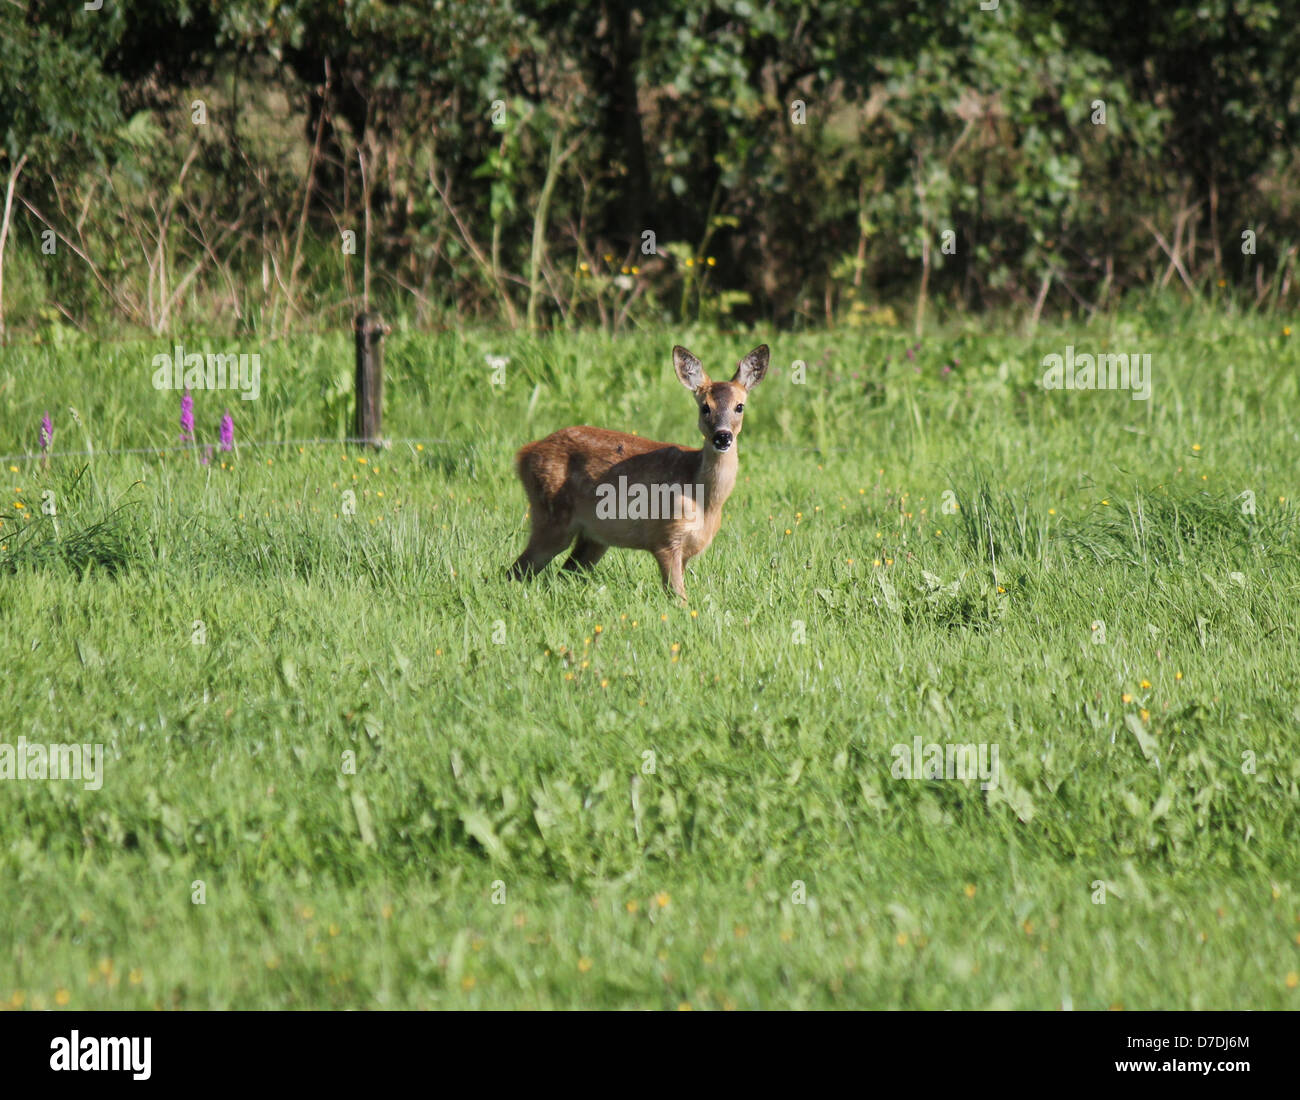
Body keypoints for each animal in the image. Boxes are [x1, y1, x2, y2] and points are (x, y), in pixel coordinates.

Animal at [508, 344, 769, 601]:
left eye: (739, 406)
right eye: (705, 407)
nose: (722, 436)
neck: (703, 498)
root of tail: (524, 453)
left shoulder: (686, 550)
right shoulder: (665, 537)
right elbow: (678, 597)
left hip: (592, 537)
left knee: (562, 571)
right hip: (551, 515)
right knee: (516, 570)